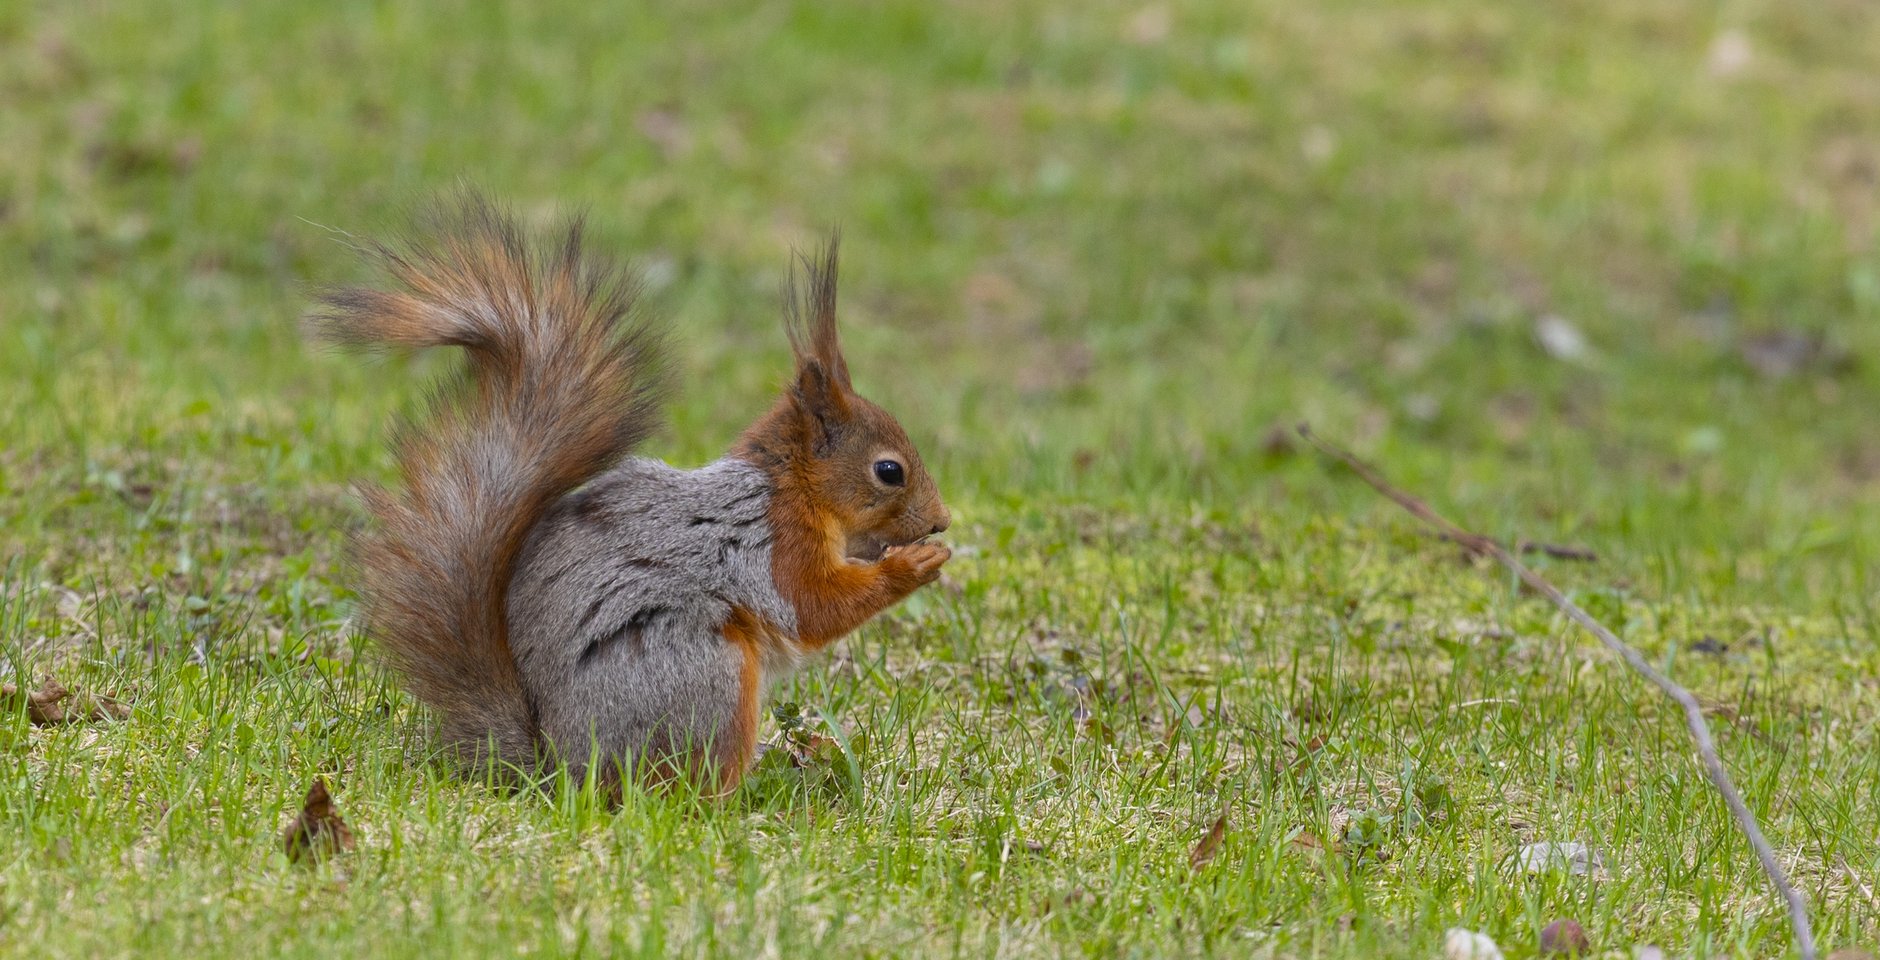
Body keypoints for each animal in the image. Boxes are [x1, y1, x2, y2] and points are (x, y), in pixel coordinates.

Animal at [315, 195, 955, 796]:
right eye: (889, 471)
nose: (942, 521)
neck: (790, 485)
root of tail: (560, 771)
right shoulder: (772, 543)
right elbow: (812, 605)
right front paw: (914, 566)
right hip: (705, 674)